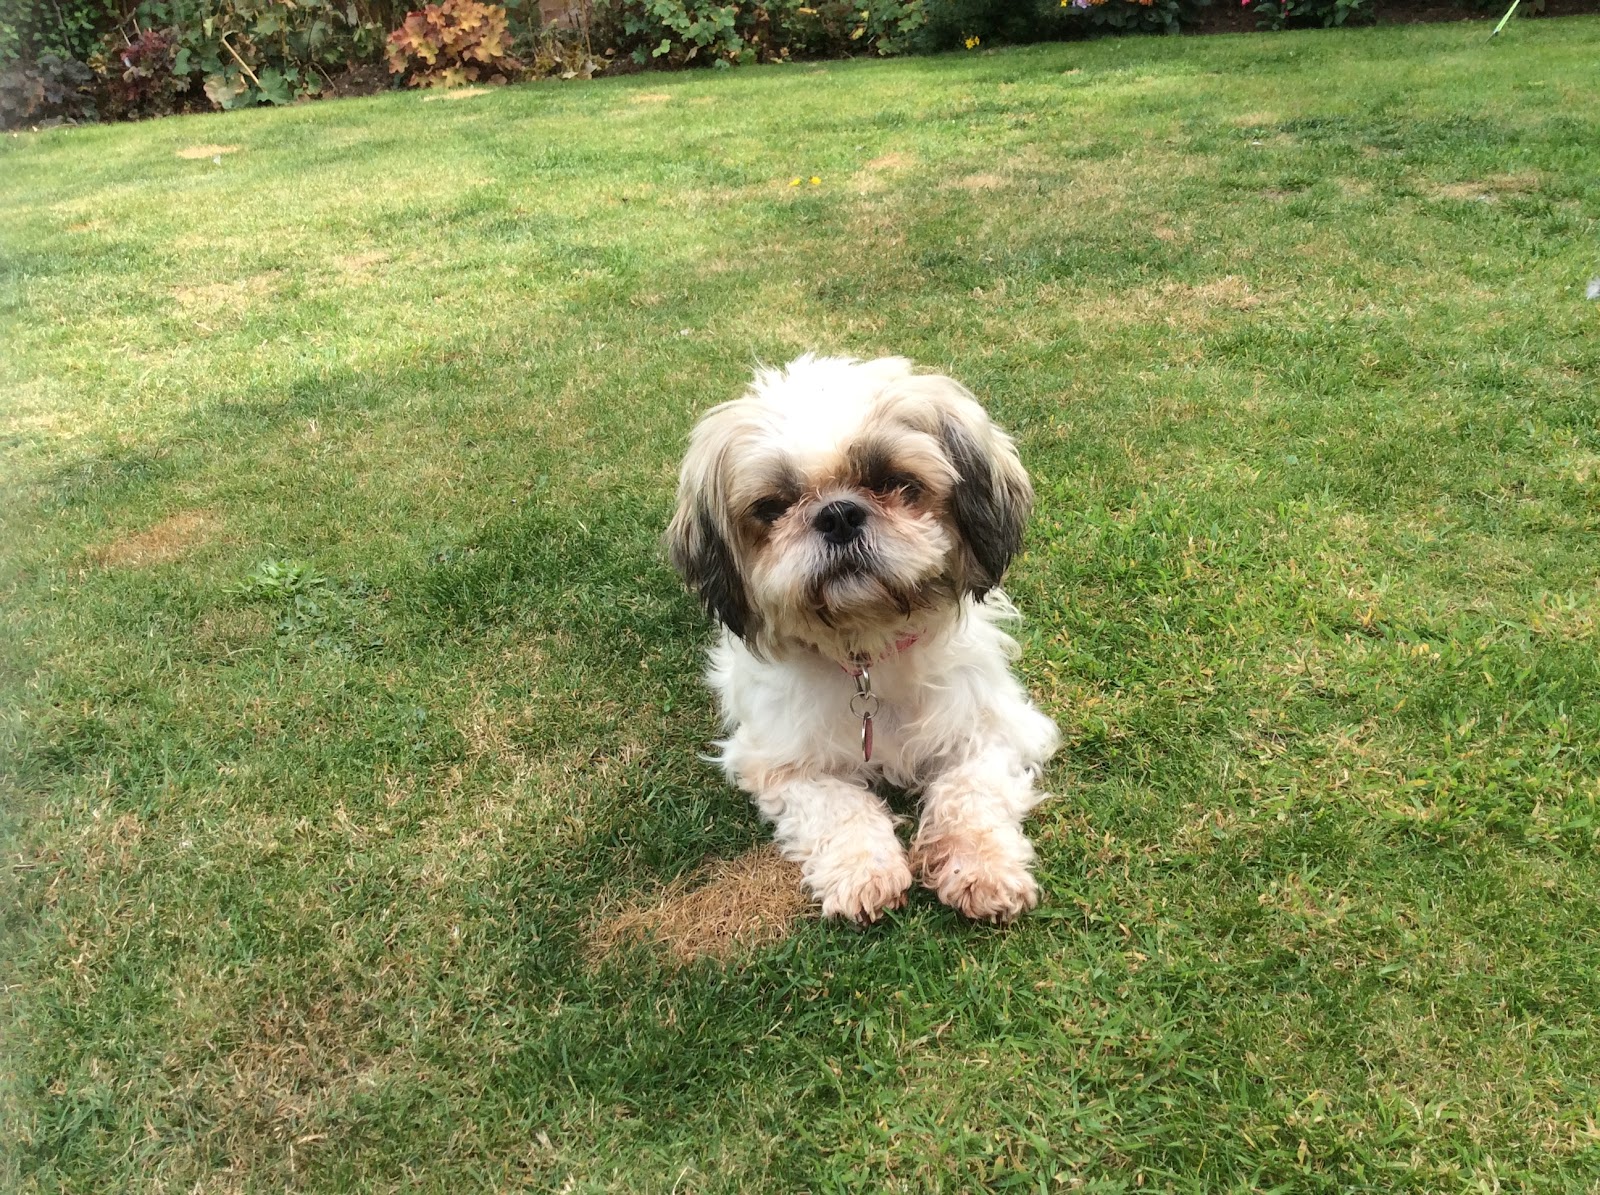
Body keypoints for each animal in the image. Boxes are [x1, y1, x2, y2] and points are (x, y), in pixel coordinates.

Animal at [667, 354, 1060, 925]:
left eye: (895, 482)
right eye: (773, 507)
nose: (837, 514)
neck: (869, 647)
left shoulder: (995, 727)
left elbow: (970, 791)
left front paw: (980, 867)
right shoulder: (779, 762)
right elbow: (839, 807)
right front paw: (865, 872)